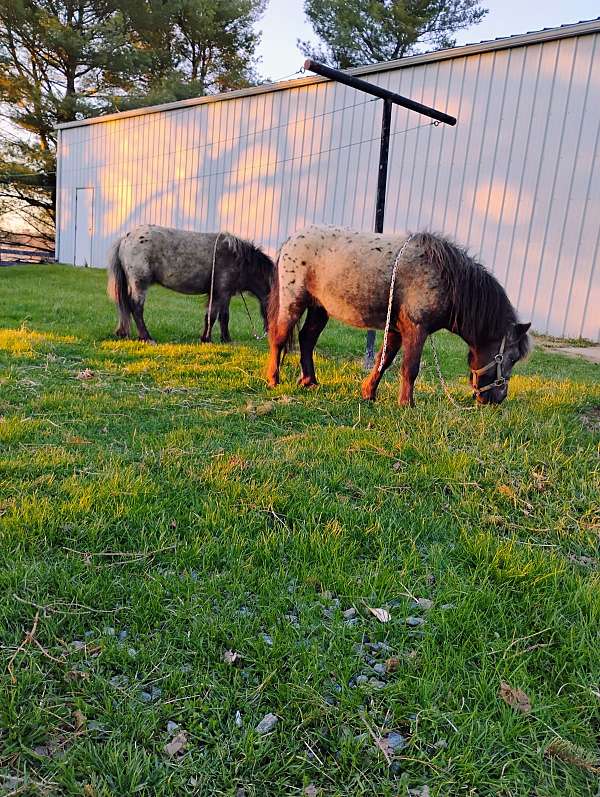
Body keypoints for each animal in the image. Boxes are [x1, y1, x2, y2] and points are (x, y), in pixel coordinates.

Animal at [107, 225, 274, 343]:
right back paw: (146, 337)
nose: (269, 333)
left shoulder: (224, 294)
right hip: (139, 284)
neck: (239, 259)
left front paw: (225, 339)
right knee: (136, 308)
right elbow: (214, 315)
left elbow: (223, 316)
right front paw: (207, 339)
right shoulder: (221, 292)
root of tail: (125, 239)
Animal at [267, 225, 531, 406]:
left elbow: (383, 361)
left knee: (306, 339)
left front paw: (369, 393)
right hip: (293, 302)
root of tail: (292, 239)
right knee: (278, 338)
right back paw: (273, 380)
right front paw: (407, 404)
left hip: (319, 309)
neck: (445, 278)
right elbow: (410, 368)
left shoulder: (394, 330)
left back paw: (309, 381)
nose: (498, 397)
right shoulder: (416, 329)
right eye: (511, 357)